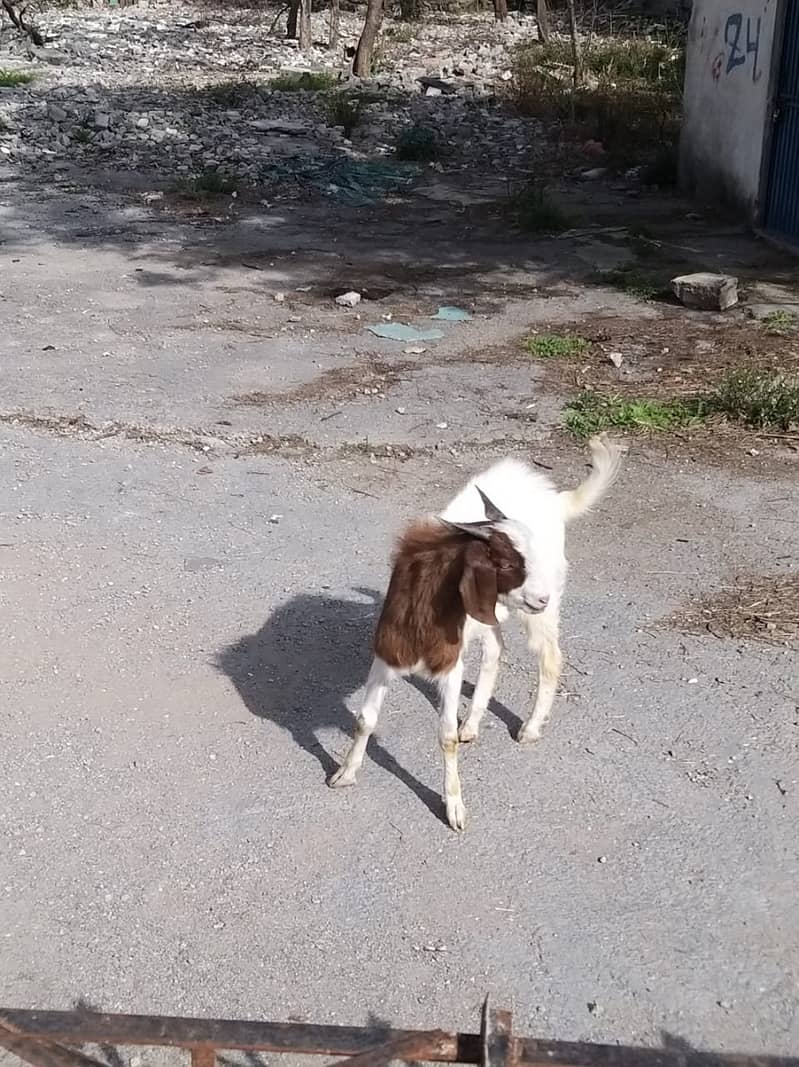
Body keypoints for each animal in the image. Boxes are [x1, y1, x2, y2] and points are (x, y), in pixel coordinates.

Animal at [330, 428, 622, 827]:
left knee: (549, 657)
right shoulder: (386, 657)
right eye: (508, 561)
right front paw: (345, 773)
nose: (542, 596)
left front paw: (454, 807)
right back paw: (472, 723)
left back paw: (529, 729)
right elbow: (365, 720)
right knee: (496, 649)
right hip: (493, 613)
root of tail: (557, 500)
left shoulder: (450, 668)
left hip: (535, 614)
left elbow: (445, 736)